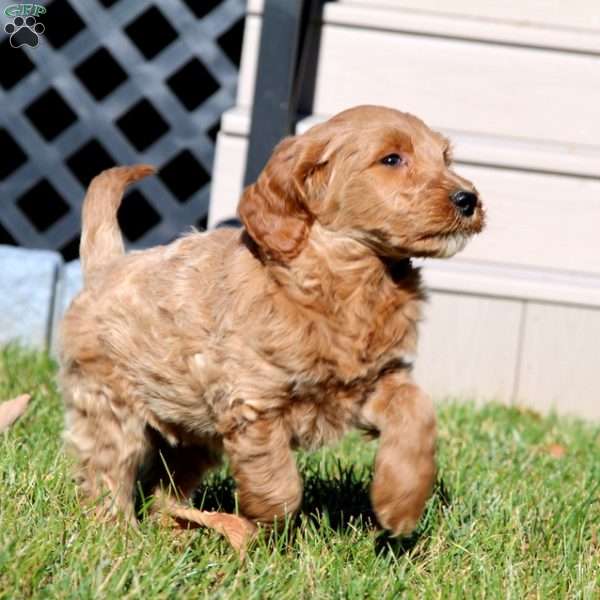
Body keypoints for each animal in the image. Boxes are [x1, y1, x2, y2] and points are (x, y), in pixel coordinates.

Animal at [59, 105, 482, 536]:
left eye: (445, 158)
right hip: (110, 402)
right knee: (109, 471)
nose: (468, 198)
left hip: (191, 432)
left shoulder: (373, 381)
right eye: (392, 159)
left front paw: (401, 502)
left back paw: (177, 524)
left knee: (164, 483)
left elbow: (417, 412)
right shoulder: (253, 400)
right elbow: (277, 479)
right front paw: (261, 520)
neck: (351, 281)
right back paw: (118, 531)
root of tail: (107, 265)